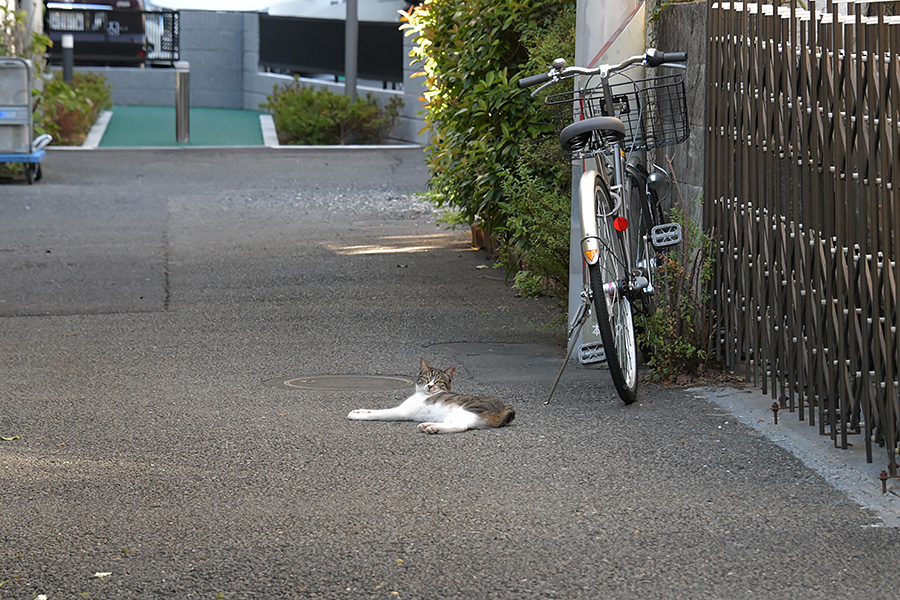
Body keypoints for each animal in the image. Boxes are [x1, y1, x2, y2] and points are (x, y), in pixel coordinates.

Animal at [346, 358, 516, 434]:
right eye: (427, 378)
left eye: (439, 382)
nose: (430, 386)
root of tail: (505, 407)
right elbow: (374, 409)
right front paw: (359, 410)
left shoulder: (402, 412)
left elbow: (378, 413)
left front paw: (357, 415)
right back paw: (427, 425)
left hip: (465, 410)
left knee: (460, 426)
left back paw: (432, 428)